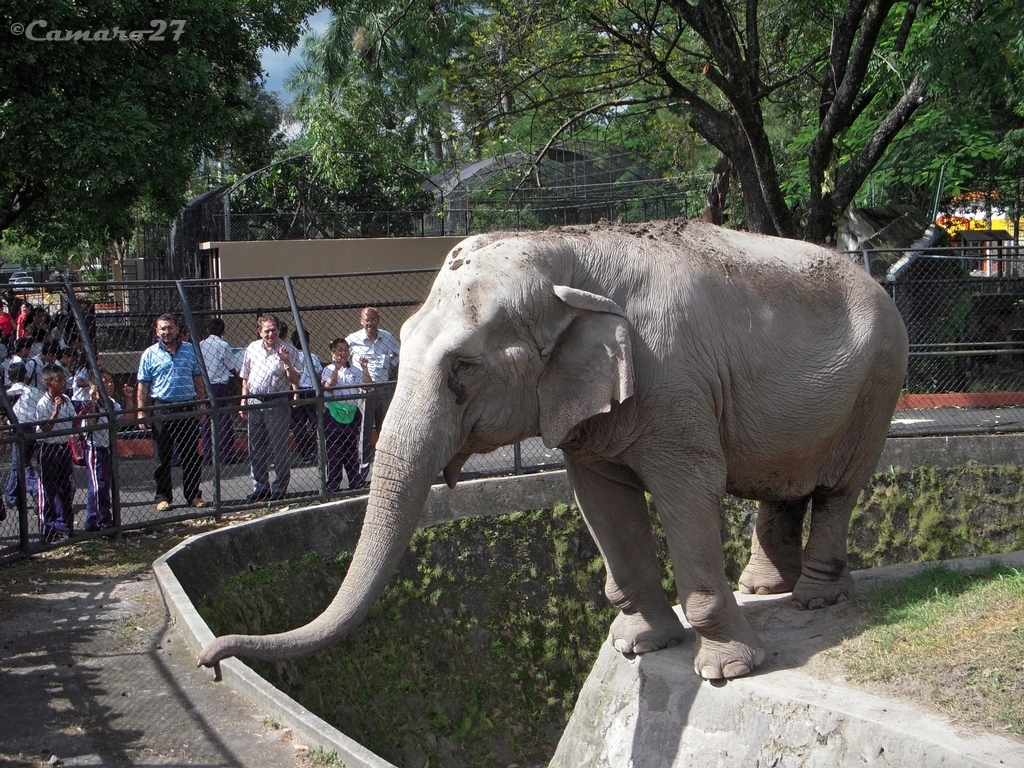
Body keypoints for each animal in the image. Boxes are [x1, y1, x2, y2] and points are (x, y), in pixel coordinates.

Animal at [199, 219, 908, 680]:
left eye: (463, 369)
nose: (208, 660)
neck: (568, 250)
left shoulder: (675, 384)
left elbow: (689, 492)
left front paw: (728, 670)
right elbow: (600, 500)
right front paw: (639, 646)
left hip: (880, 382)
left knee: (838, 489)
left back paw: (815, 598)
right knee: (783, 485)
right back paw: (764, 587)